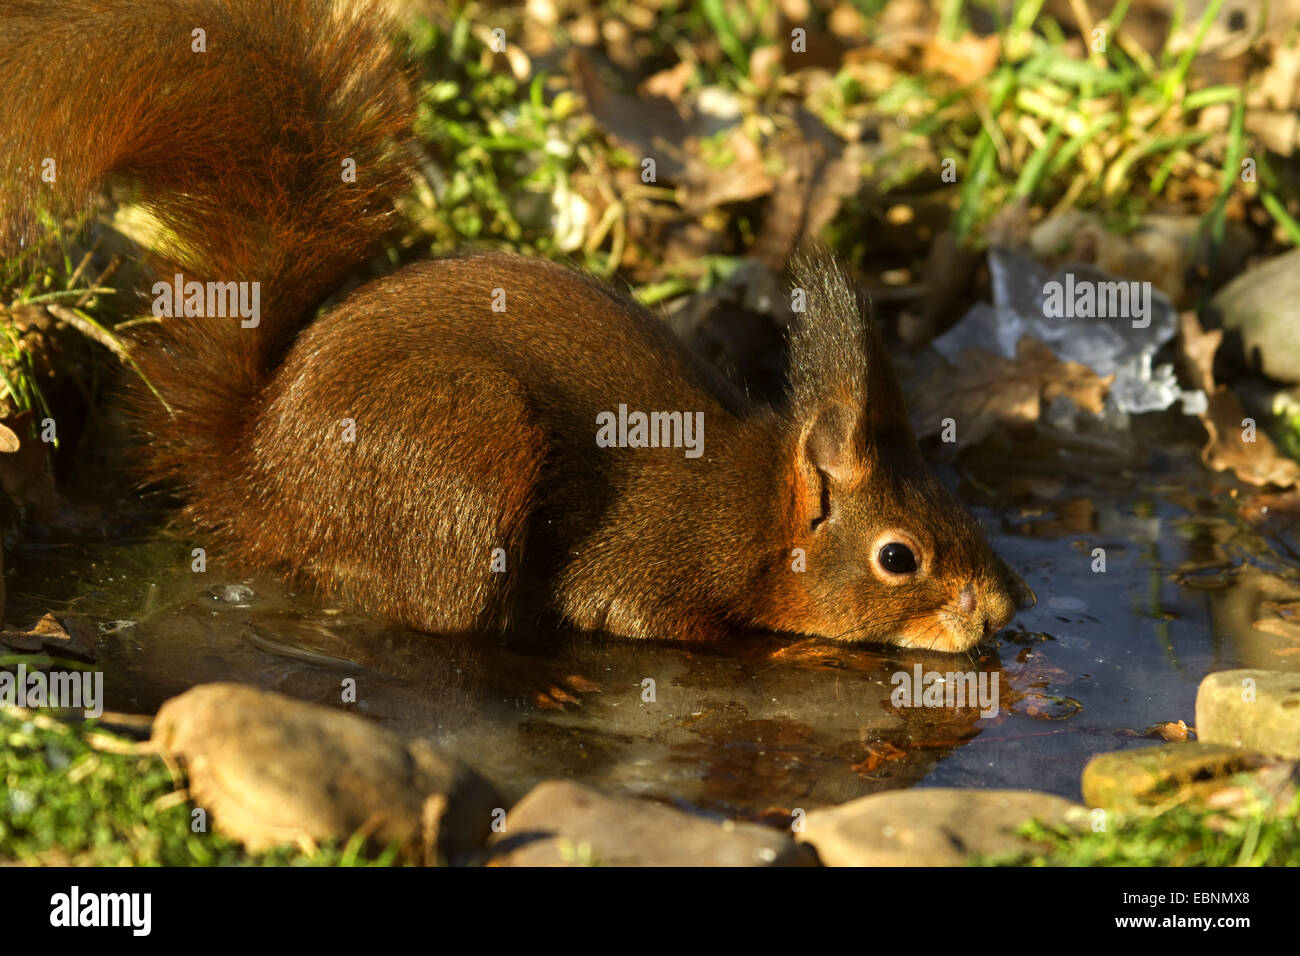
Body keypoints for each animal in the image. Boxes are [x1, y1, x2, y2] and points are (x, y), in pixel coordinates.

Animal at [0, 0, 1013, 650]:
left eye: (958, 503)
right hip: (467, 442)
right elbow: (625, 612)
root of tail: (256, 472)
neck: (762, 508)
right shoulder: (660, 555)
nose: (1004, 610)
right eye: (898, 558)